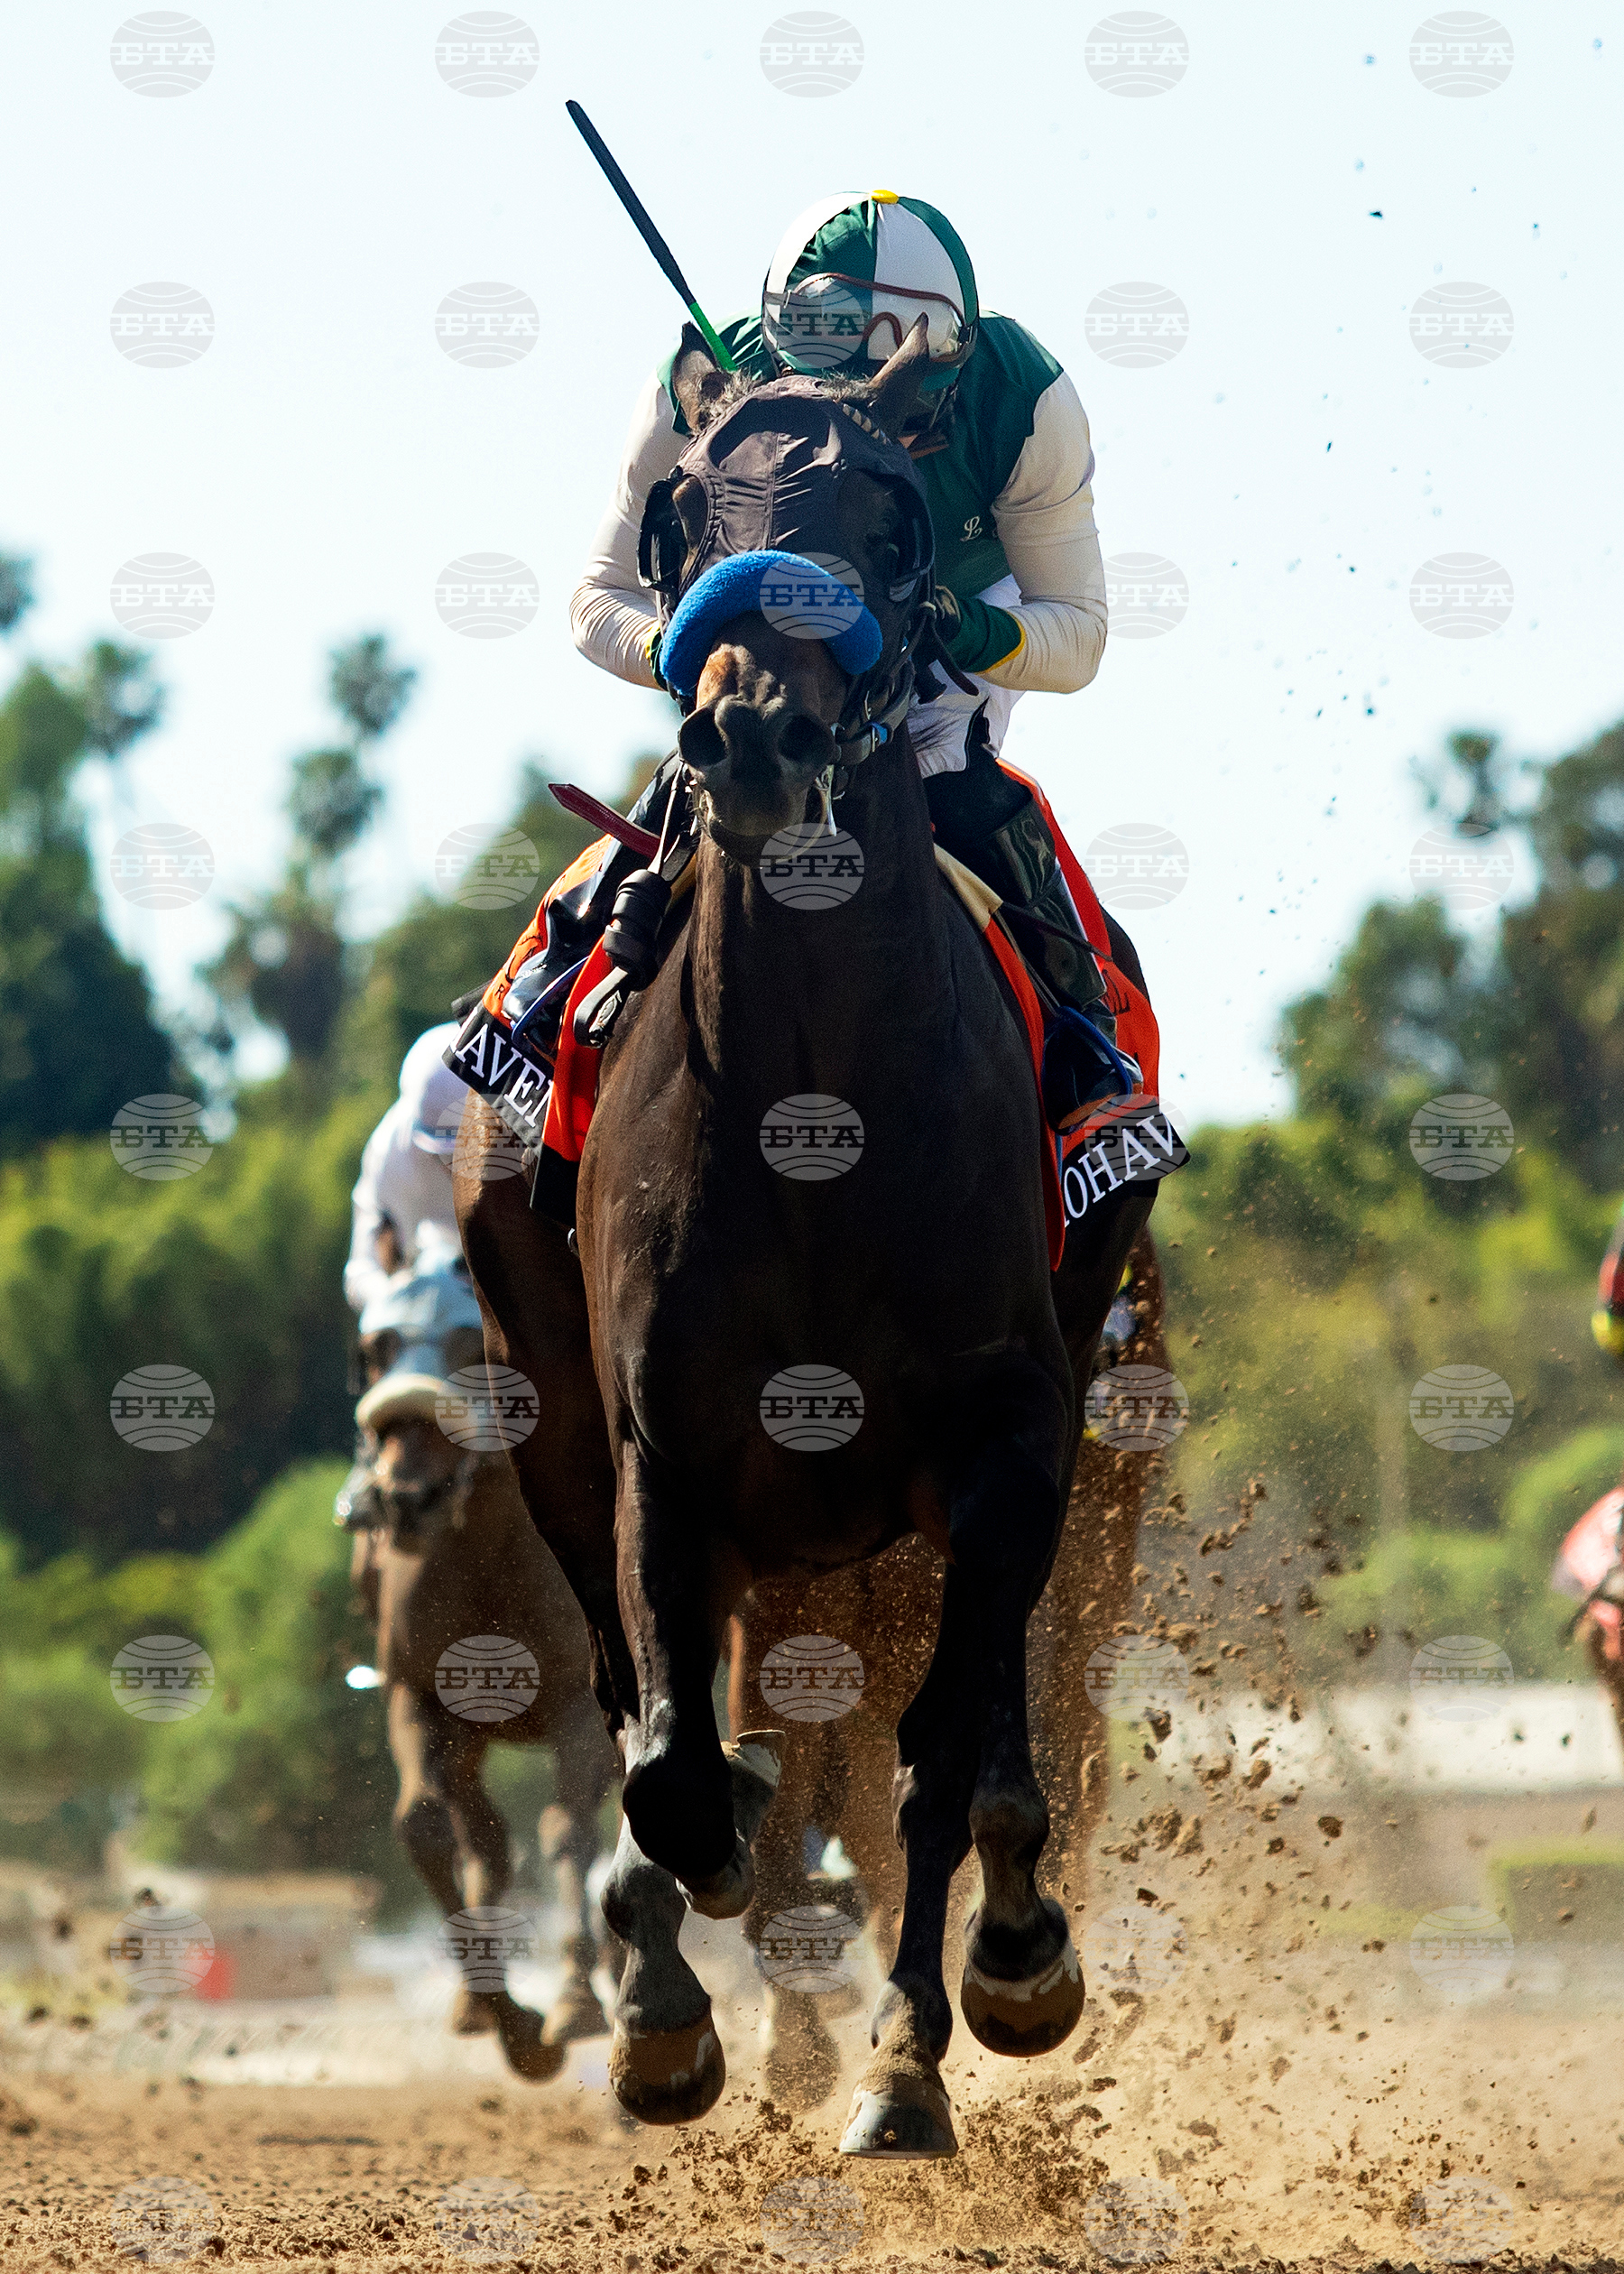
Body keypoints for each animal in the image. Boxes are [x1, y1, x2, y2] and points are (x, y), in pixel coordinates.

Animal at [342, 1226, 620, 2080]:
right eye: (377, 1345)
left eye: (472, 1338)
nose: (406, 1497)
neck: (493, 1545)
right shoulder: (421, 1693)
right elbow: (426, 1824)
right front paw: (508, 2020)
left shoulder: (578, 1699)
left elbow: (568, 1829)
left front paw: (575, 2003)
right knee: (484, 1838)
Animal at [455, 318, 1160, 2156]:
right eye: (682, 514)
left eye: (894, 522)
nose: (756, 735)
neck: (820, 1119)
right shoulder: (660, 1450)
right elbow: (668, 1771)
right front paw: (669, 2004)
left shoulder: (1011, 1441)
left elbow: (939, 1757)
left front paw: (925, 2047)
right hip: (550, 1422)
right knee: (646, 1713)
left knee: (983, 1725)